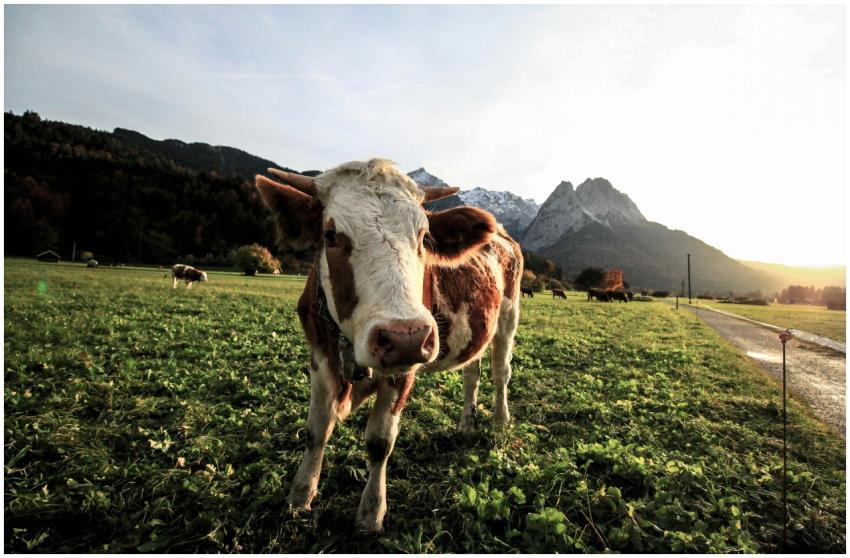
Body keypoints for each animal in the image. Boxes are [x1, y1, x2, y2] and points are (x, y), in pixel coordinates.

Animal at [254, 159, 522, 533]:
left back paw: (500, 419)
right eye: (331, 236)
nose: (404, 337)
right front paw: (300, 495)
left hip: (508, 317)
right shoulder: (320, 355)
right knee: (472, 372)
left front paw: (371, 513)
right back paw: (467, 424)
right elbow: (316, 429)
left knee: (501, 373)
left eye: (424, 237)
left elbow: (380, 441)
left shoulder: (405, 367)